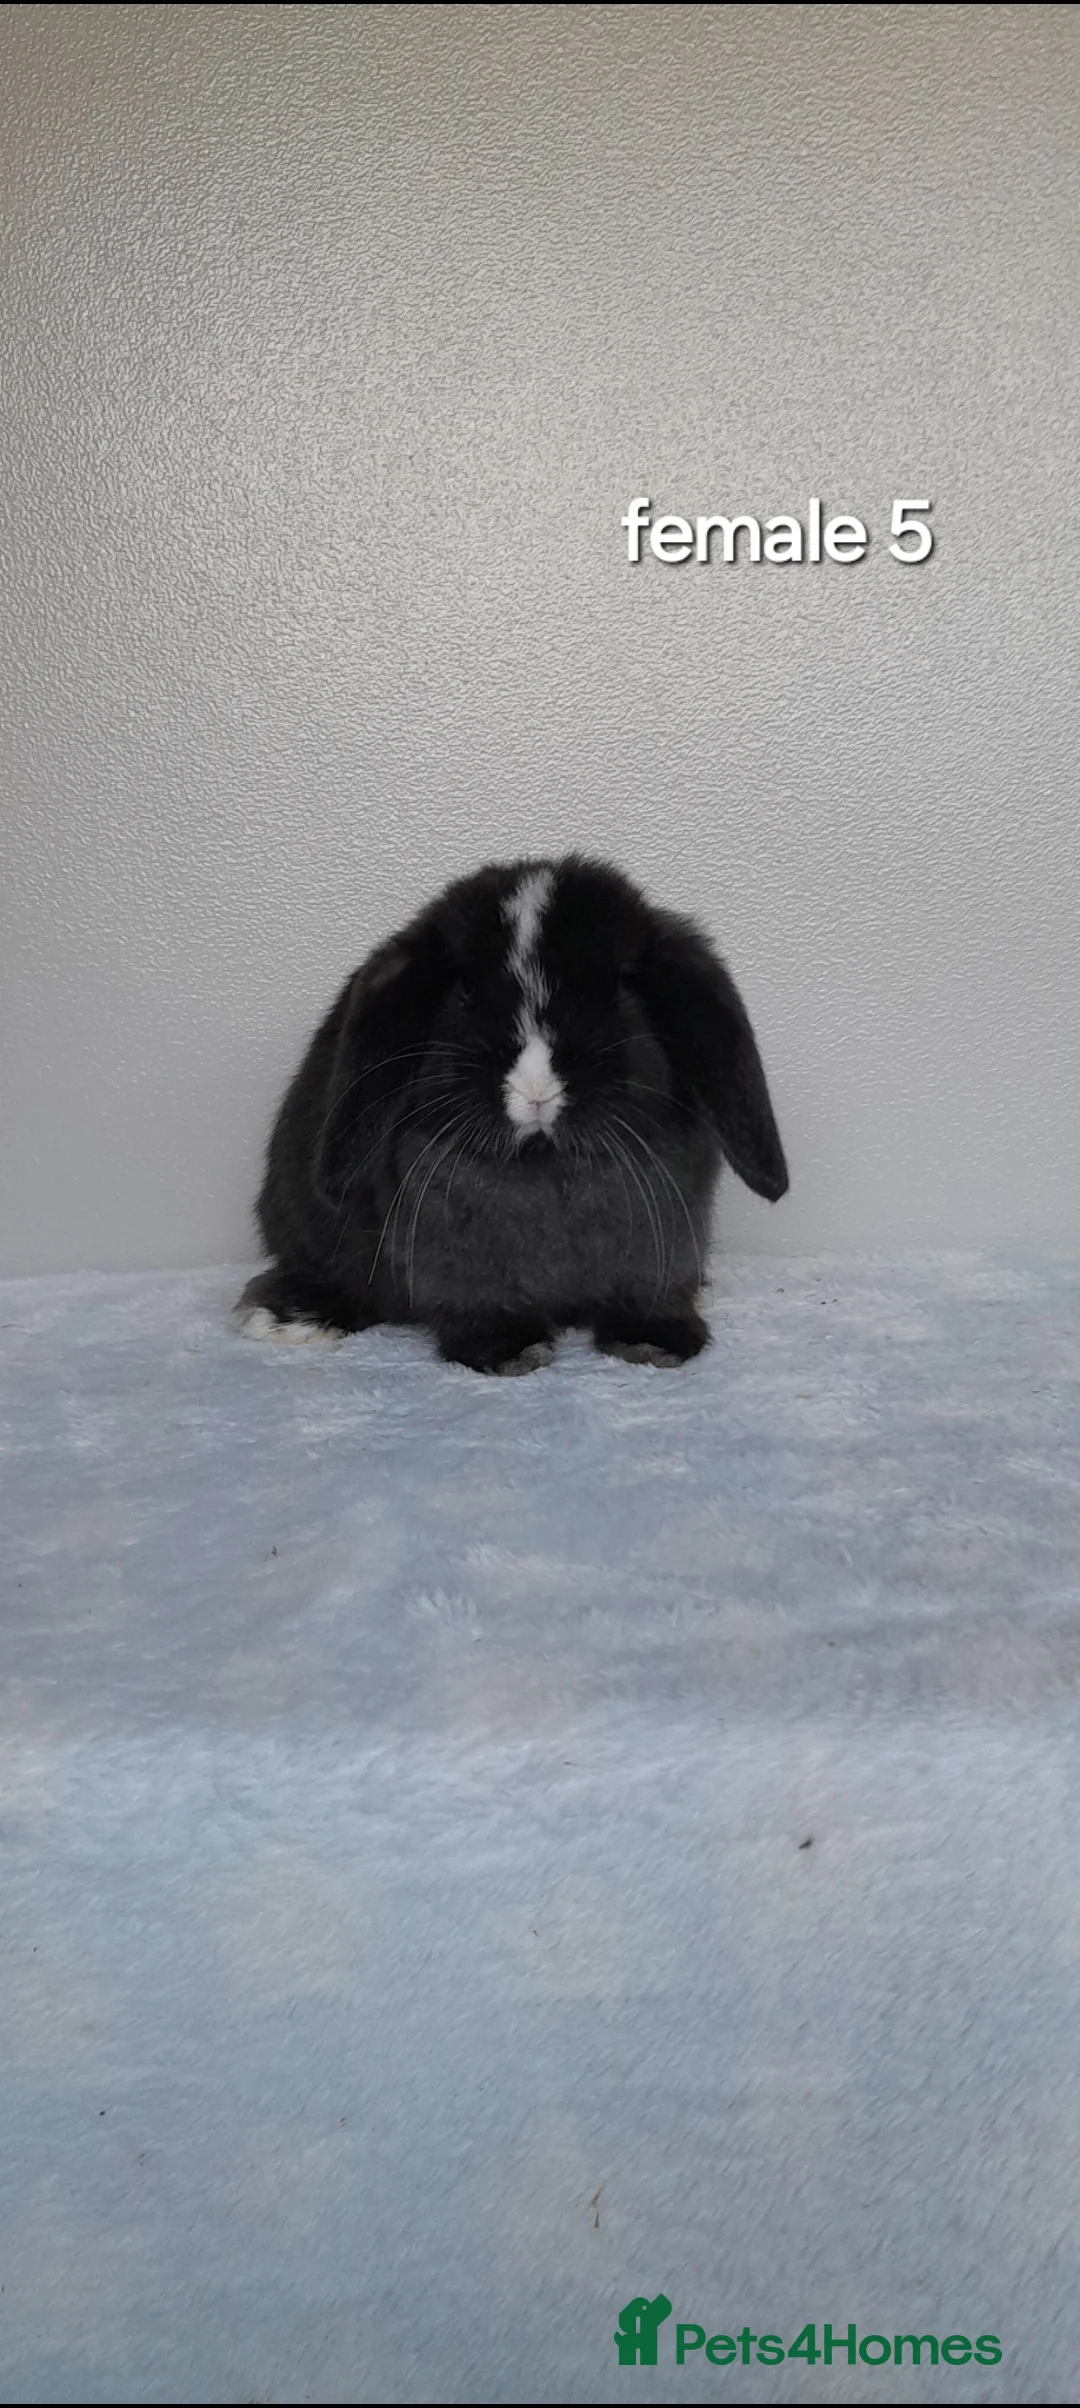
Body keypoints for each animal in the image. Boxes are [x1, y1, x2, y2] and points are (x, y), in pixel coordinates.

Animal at [233, 855, 789, 1373]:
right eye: (465, 990)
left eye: (620, 987)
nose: (535, 1087)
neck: (544, 1159)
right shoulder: (456, 1261)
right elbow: (477, 1304)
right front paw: (509, 1353)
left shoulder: (665, 1243)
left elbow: (649, 1294)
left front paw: (655, 1345)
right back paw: (289, 1316)